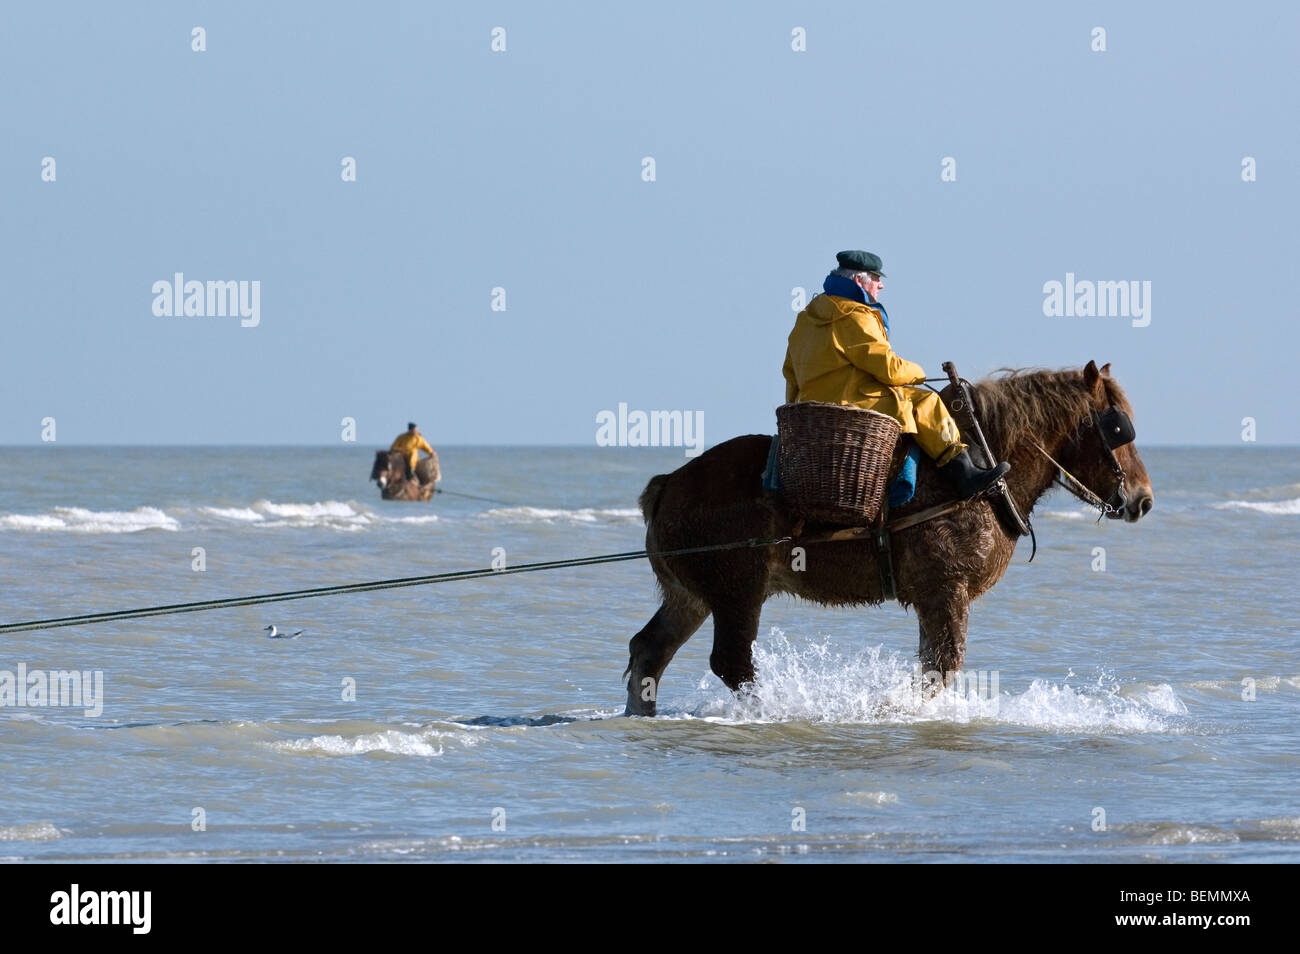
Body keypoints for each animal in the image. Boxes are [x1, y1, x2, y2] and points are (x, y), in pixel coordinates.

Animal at [624, 361, 1154, 716]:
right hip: (738, 593)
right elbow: (941, 670)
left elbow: (931, 669)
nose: (1143, 499)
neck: (980, 472)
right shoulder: (947, 592)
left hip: (693, 597)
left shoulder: (934, 598)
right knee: (731, 662)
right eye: (1116, 426)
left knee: (649, 651)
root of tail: (669, 483)